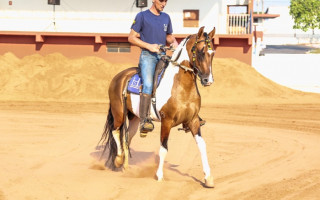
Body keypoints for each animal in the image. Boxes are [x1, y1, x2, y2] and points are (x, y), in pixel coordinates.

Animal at [99, 25, 216, 187]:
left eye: (212, 53)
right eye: (200, 51)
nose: (207, 80)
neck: (181, 86)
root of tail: (119, 77)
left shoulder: (193, 121)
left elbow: (202, 146)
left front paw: (208, 178)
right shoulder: (166, 121)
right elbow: (163, 148)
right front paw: (159, 175)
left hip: (135, 118)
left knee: (126, 139)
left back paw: (126, 167)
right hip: (119, 114)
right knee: (115, 131)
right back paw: (118, 160)